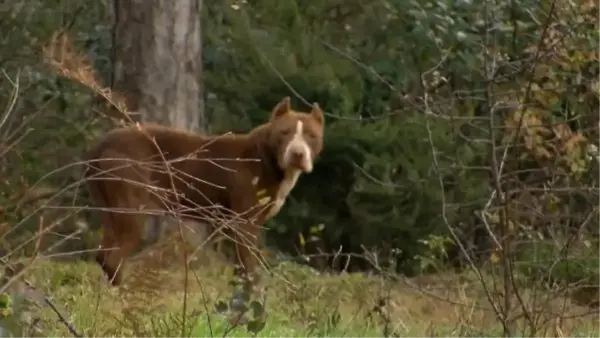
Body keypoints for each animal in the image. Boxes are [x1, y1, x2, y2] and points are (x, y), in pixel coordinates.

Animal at [84, 97, 324, 286]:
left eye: (312, 136)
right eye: (284, 133)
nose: (298, 154)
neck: (266, 157)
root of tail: (100, 144)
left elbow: (240, 269)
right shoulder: (244, 224)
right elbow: (249, 268)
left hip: (110, 209)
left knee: (104, 255)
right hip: (133, 209)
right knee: (114, 258)